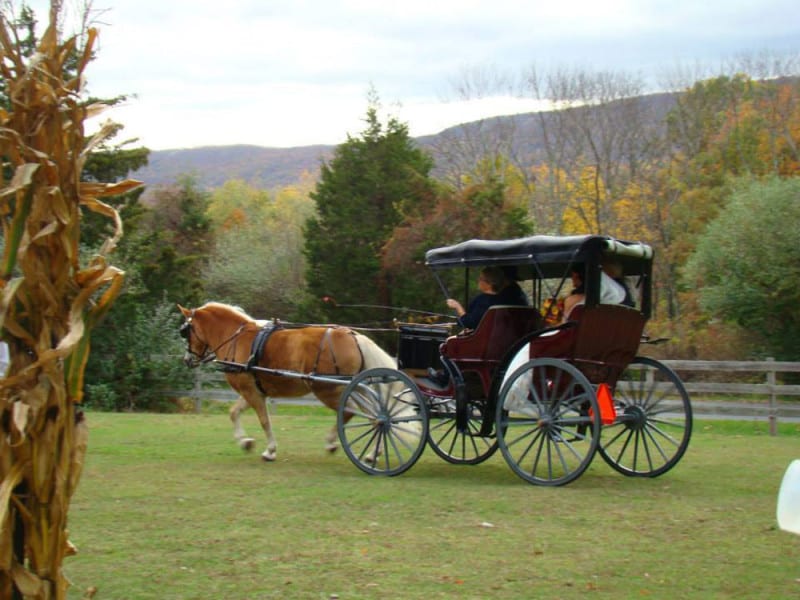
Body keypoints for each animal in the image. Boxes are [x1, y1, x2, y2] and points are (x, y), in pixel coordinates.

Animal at [178, 302, 396, 462]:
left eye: (185, 331)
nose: (187, 360)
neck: (236, 339)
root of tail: (353, 336)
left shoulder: (250, 391)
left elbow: (264, 420)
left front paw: (270, 450)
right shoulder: (253, 391)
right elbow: (234, 413)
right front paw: (245, 442)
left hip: (328, 390)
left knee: (352, 412)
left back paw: (334, 443)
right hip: (356, 388)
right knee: (372, 415)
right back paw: (372, 453)